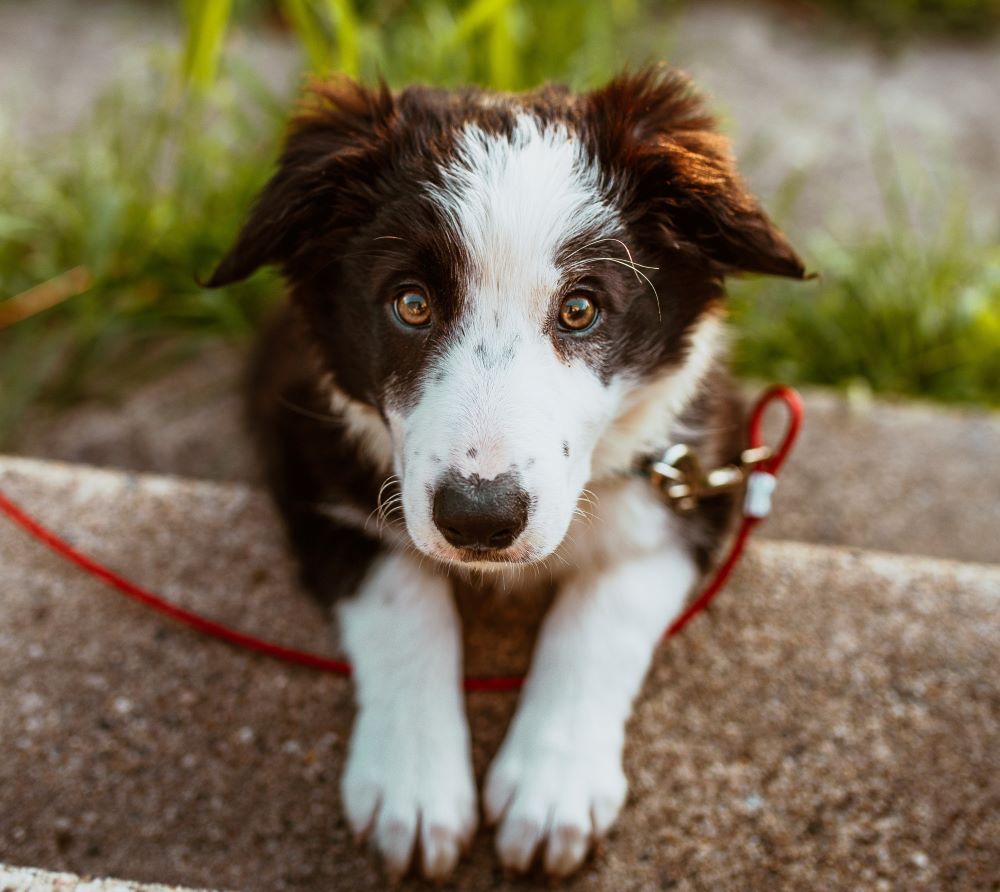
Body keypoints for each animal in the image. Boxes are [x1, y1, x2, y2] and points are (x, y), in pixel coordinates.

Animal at [207, 68, 808, 880]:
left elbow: (603, 612)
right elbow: (403, 595)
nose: (480, 519)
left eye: (581, 309)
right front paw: (414, 788)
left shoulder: (697, 469)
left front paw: (552, 787)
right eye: (411, 304)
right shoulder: (306, 450)